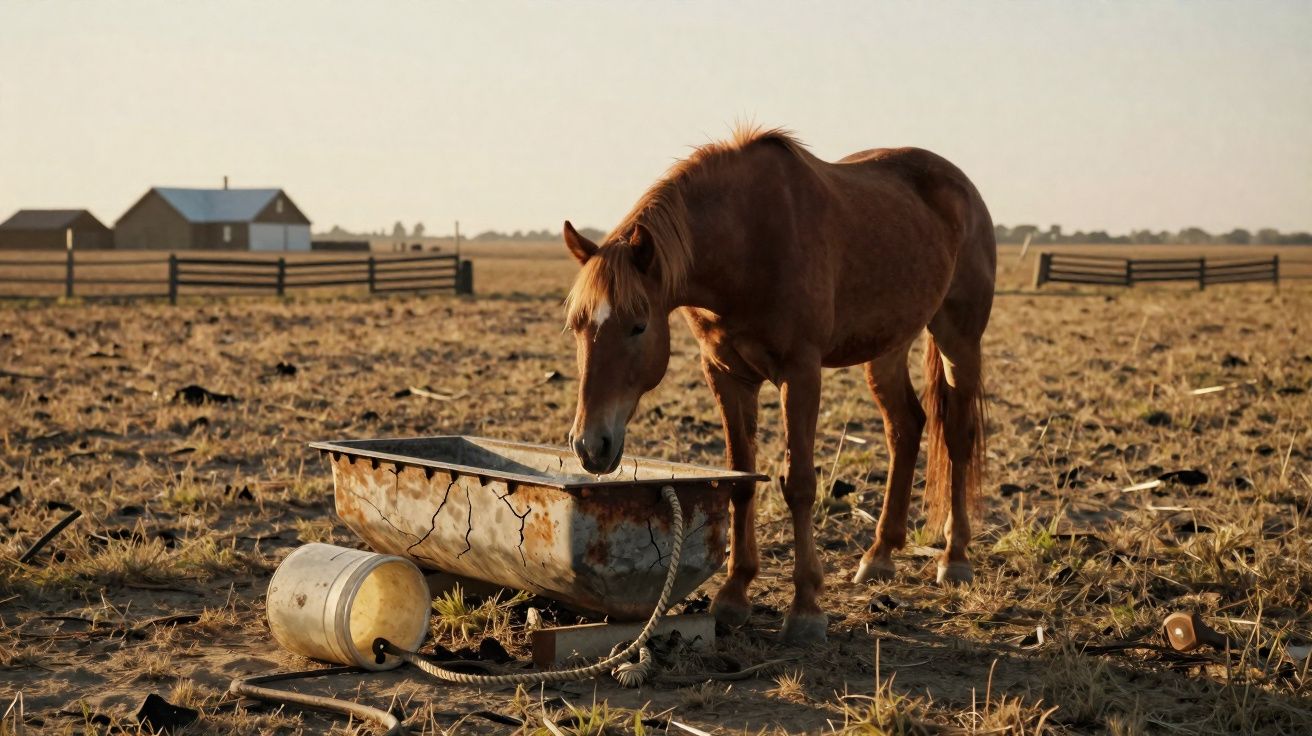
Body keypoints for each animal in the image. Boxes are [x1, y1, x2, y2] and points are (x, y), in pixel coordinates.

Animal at [561, 126, 995, 644]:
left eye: (638, 325)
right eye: (577, 324)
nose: (591, 446)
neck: (747, 242)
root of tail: (962, 188)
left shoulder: (800, 372)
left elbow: (800, 484)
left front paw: (806, 608)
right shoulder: (725, 374)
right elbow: (739, 479)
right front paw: (734, 594)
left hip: (958, 339)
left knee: (957, 435)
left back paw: (956, 558)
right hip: (887, 347)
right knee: (905, 427)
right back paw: (880, 554)